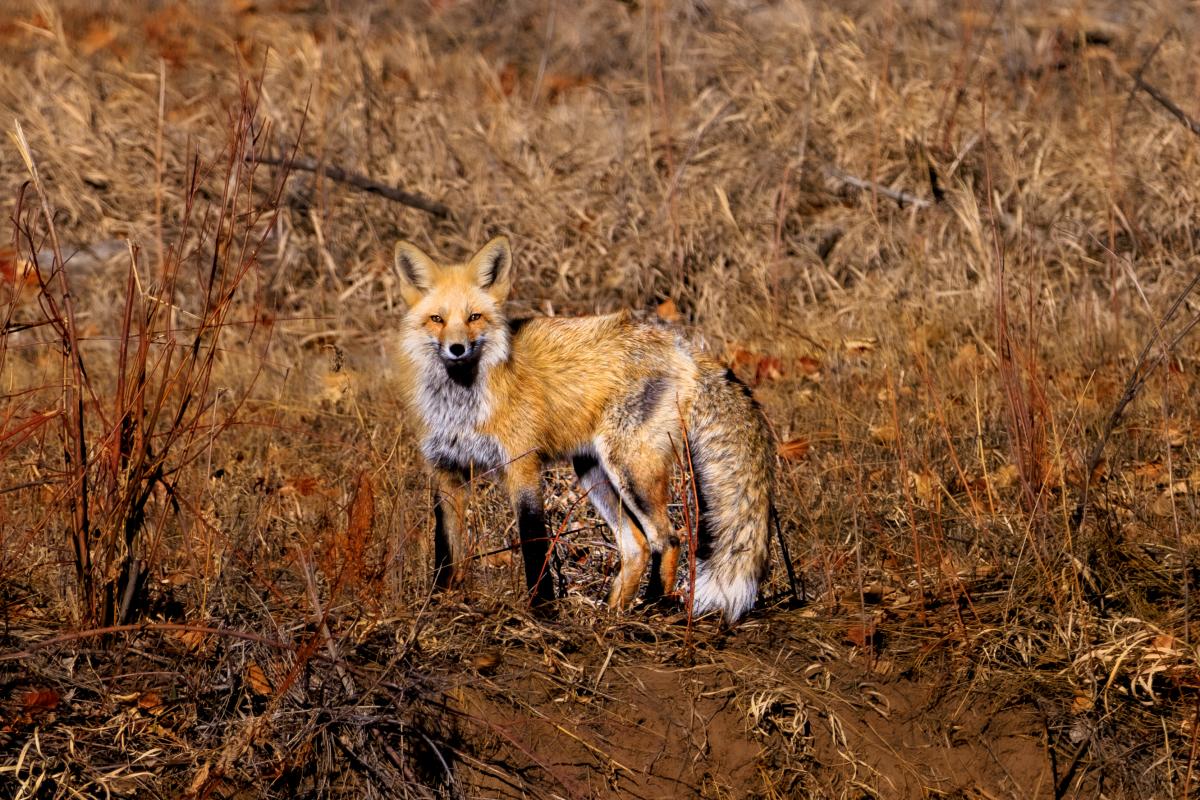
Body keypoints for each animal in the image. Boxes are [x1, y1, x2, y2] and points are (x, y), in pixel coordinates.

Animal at [394, 235, 775, 620]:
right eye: (437, 319)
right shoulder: (445, 470)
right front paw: (436, 604)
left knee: (669, 539)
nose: (457, 348)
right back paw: (612, 614)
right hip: (593, 471)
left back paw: (652, 607)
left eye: (474, 317)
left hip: (630, 470)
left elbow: (534, 542)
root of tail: (683, 347)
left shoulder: (522, 466)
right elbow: (445, 549)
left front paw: (543, 612)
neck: (461, 404)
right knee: (636, 546)